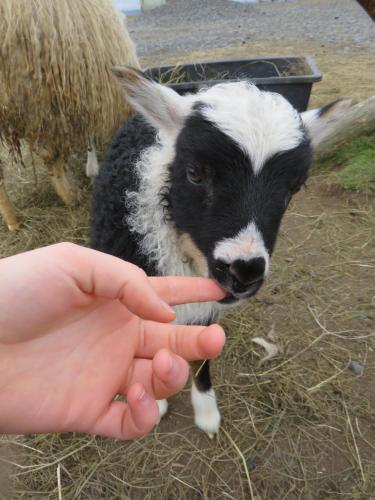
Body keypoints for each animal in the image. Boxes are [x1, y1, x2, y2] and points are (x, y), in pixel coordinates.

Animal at [91, 67, 346, 438]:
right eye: (195, 173)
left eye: (293, 188)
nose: (244, 272)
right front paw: (155, 401)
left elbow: (200, 356)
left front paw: (207, 413)